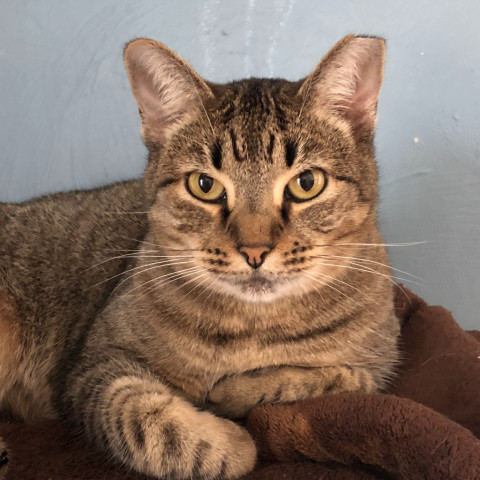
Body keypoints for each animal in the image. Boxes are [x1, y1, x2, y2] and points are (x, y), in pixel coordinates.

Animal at [0, 34, 400, 480]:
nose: (255, 250)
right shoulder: (93, 365)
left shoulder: (382, 361)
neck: (252, 328)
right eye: (204, 185)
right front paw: (233, 441)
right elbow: (140, 414)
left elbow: (344, 378)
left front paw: (235, 392)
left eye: (307, 183)